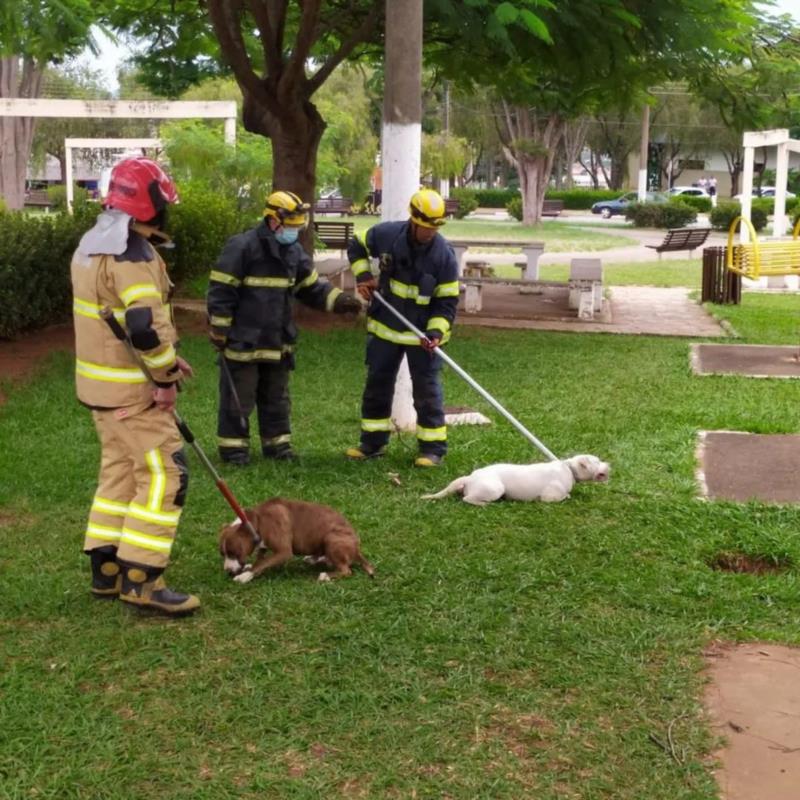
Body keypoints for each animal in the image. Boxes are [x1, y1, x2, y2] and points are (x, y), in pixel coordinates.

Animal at [219, 496, 376, 584]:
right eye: (222, 554)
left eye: (234, 553)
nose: (227, 571)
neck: (258, 519)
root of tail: (357, 549)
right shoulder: (262, 546)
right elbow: (260, 560)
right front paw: (248, 568)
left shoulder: (283, 552)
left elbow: (262, 564)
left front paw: (245, 576)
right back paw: (316, 559)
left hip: (331, 538)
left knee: (346, 570)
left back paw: (325, 575)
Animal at [422, 454, 608, 504]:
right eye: (597, 461)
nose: (608, 464)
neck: (569, 468)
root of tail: (469, 478)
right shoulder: (549, 498)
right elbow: (562, 497)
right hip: (495, 488)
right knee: (467, 499)